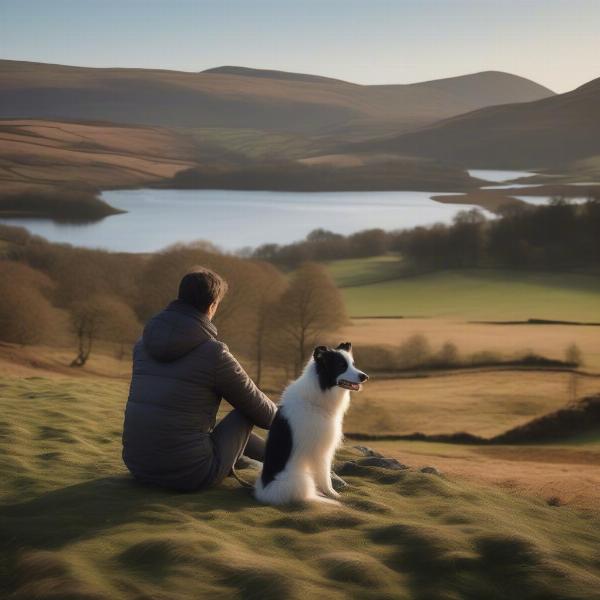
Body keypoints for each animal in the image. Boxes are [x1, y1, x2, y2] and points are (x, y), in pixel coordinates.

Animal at [254, 340, 368, 504]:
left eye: (353, 364)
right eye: (341, 365)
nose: (365, 376)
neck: (315, 400)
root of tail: (265, 491)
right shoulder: (320, 450)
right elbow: (325, 477)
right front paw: (333, 494)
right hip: (300, 480)